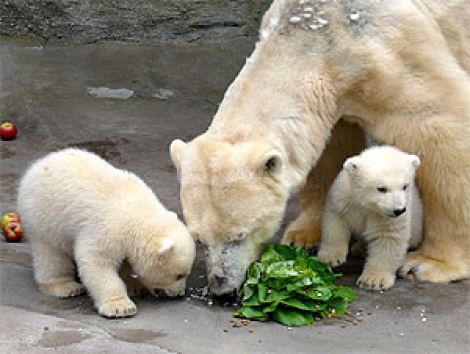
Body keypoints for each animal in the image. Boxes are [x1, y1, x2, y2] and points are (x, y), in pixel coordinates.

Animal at [171, 0, 470, 296]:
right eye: (199, 239)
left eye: (239, 235)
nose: (221, 288)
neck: (318, 28)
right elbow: (329, 148)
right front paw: (305, 236)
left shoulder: (391, 56)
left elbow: (440, 129)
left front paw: (431, 263)